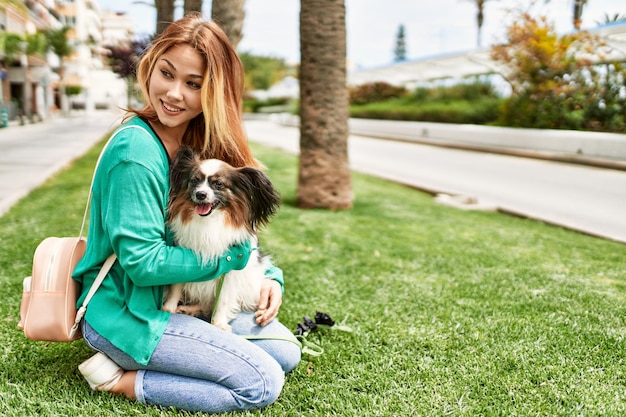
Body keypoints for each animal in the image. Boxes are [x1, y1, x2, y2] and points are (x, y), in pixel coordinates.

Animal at [162, 146, 280, 332]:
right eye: (194, 181)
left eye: (218, 184)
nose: (201, 194)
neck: (209, 221)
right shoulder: (182, 258)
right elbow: (175, 286)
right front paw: (168, 308)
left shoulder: (231, 271)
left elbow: (223, 299)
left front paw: (219, 323)